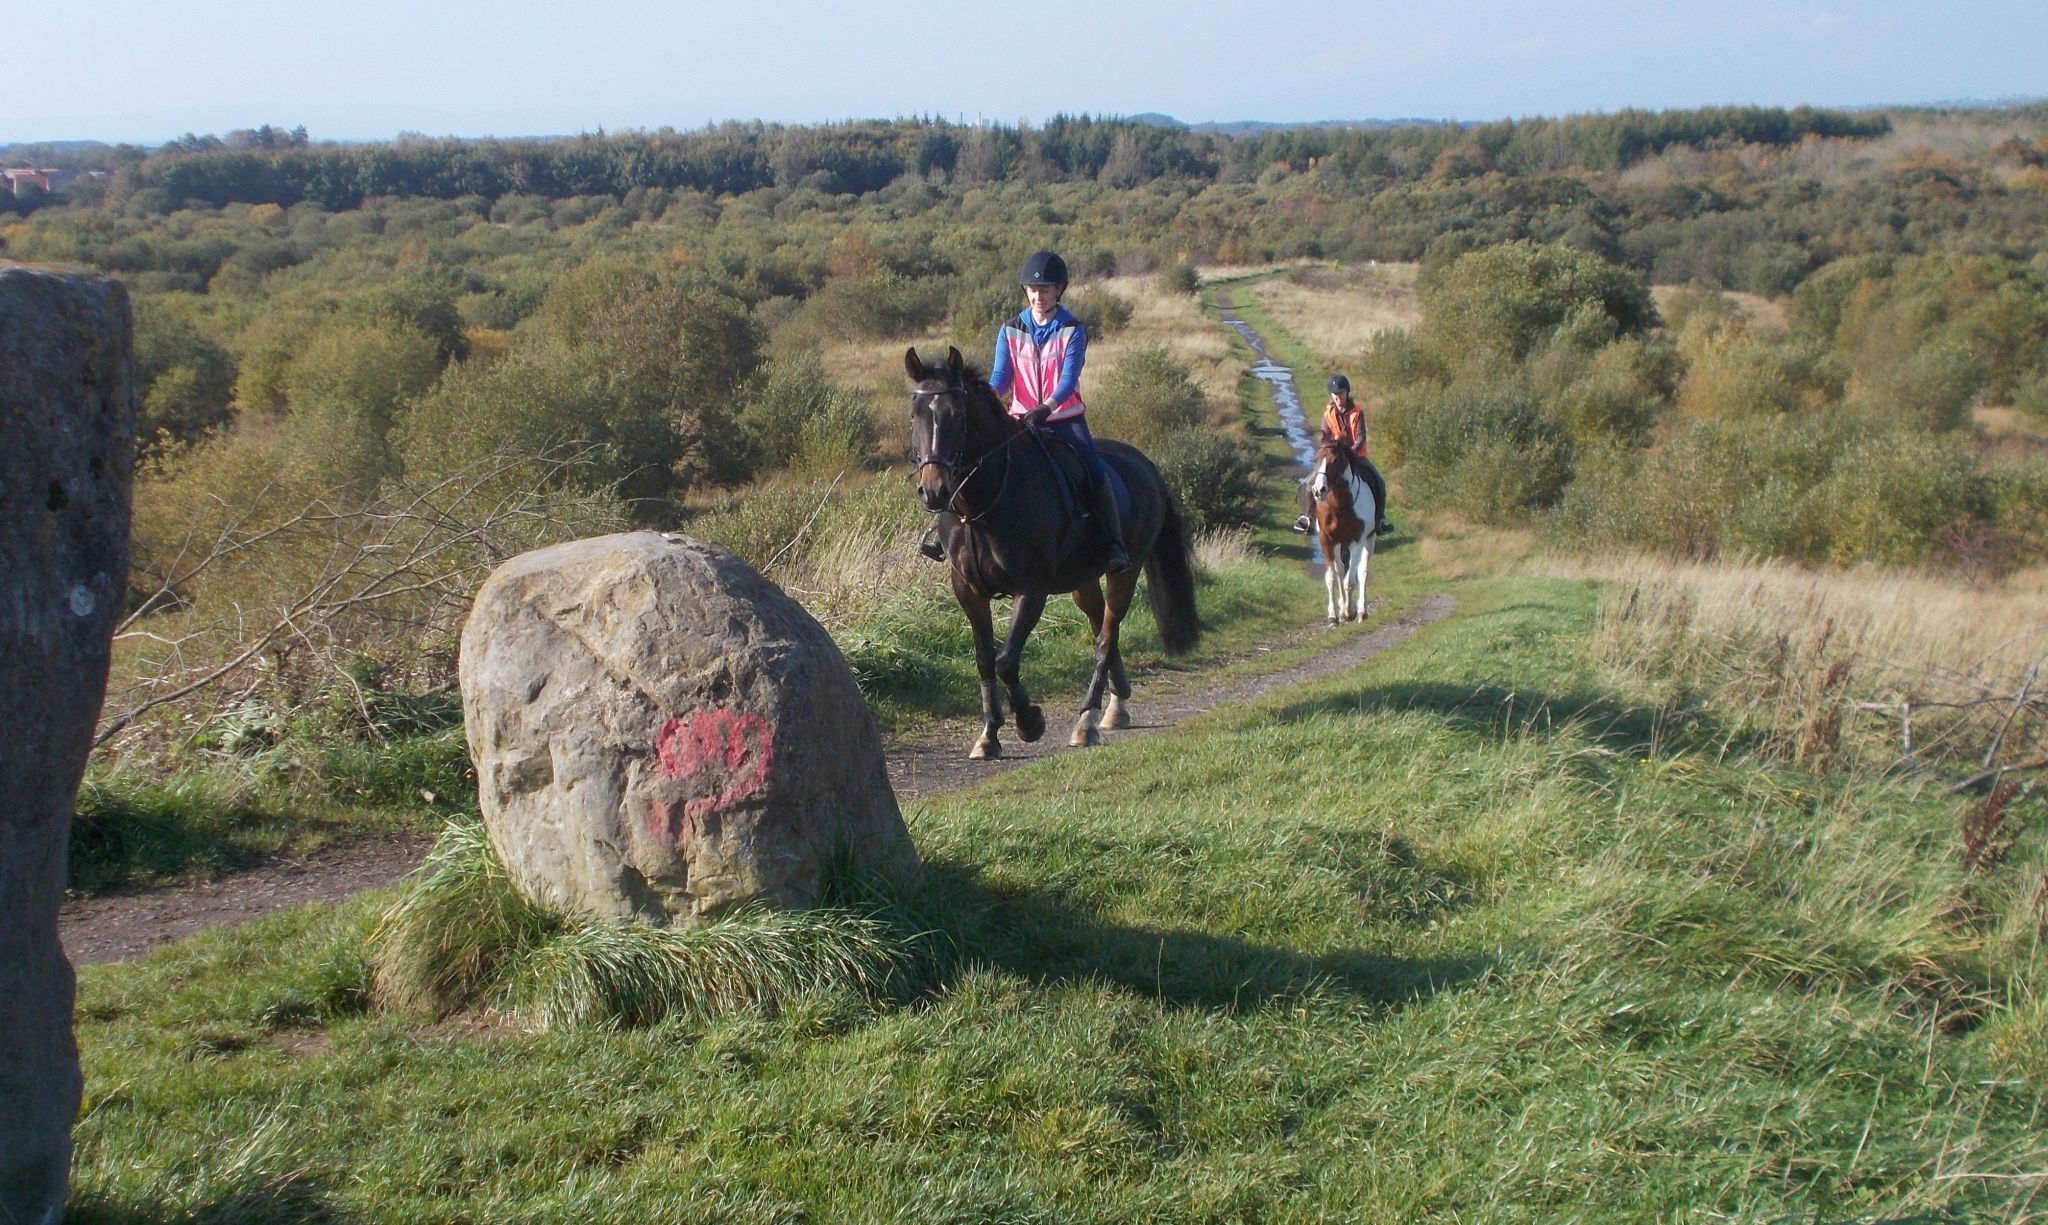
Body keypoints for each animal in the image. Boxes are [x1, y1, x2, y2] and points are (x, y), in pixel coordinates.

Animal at [901, 346, 1196, 762]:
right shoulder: (968, 591)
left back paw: (1087, 722)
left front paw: (1029, 723)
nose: (934, 491)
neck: (985, 504)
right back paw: (1116, 705)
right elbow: (984, 660)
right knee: (1100, 625)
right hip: (1083, 581)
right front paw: (988, 735)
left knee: (1106, 637)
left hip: (1125, 570)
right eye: (915, 414)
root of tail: (1145, 463)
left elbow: (1006, 661)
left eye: (957, 415)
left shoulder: (1031, 589)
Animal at [1310, 430, 1376, 622]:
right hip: (1339, 543)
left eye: (1335, 460)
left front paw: (1348, 612)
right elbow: (1331, 577)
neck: (1339, 505)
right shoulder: (1326, 541)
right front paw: (1334, 615)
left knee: (1362, 571)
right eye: (1317, 458)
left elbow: (1351, 580)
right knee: (1340, 570)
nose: (1318, 490)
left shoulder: (1356, 542)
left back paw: (1360, 611)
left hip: (1370, 539)